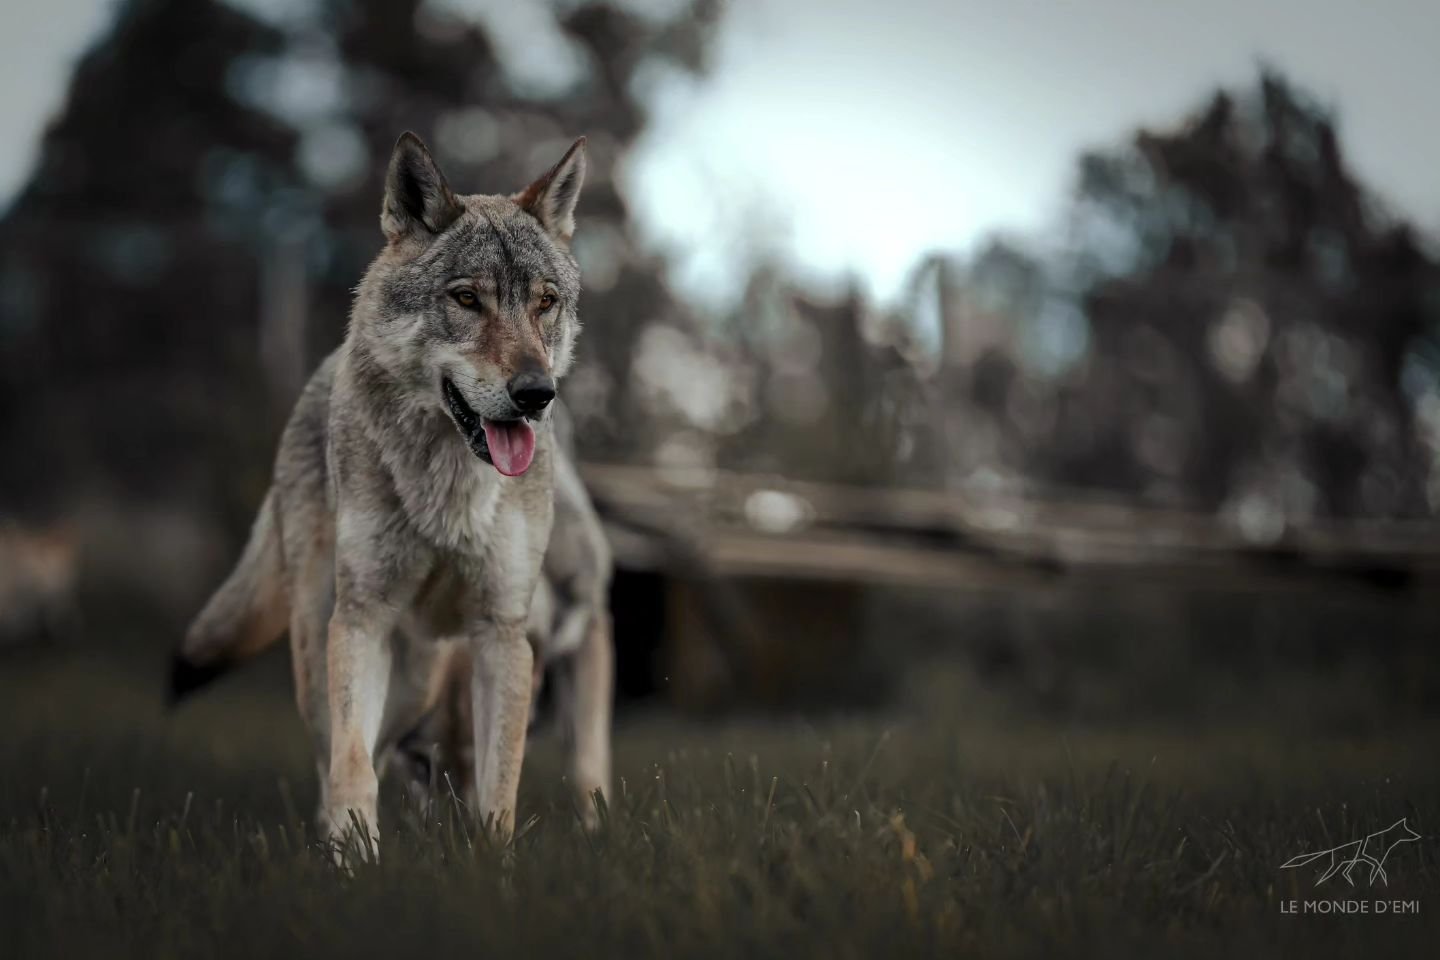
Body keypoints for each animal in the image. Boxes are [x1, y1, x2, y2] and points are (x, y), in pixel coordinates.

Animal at [171, 131, 611, 848]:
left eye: (544, 302)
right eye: (467, 299)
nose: (535, 394)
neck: (451, 496)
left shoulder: (504, 631)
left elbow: (502, 782)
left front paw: (492, 860)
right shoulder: (362, 620)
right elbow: (351, 765)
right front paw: (355, 859)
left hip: (430, 674)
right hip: (339, 652)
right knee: (346, 753)